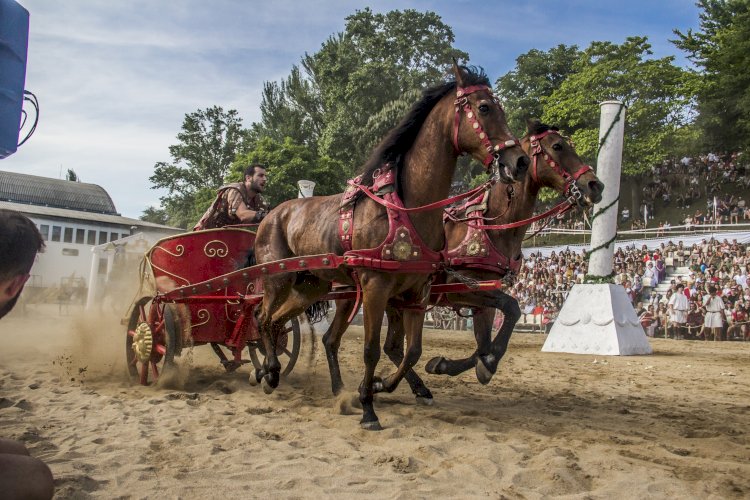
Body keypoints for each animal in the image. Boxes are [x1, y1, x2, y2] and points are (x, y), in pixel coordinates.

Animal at [253, 63, 528, 430]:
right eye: (484, 108)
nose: (519, 161)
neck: (408, 208)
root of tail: (273, 213)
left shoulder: (417, 292)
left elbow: (413, 351)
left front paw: (380, 388)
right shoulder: (376, 287)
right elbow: (372, 349)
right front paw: (369, 408)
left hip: (310, 287)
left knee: (294, 327)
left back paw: (328, 387)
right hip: (277, 279)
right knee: (262, 318)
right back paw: (270, 371)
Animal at [322, 120, 604, 402]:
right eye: (557, 146)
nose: (595, 185)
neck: (493, 225)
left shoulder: (484, 296)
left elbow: (487, 341)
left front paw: (463, 364)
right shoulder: (462, 291)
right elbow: (510, 310)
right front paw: (475, 365)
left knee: (385, 346)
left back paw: (404, 386)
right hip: (356, 294)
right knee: (336, 339)